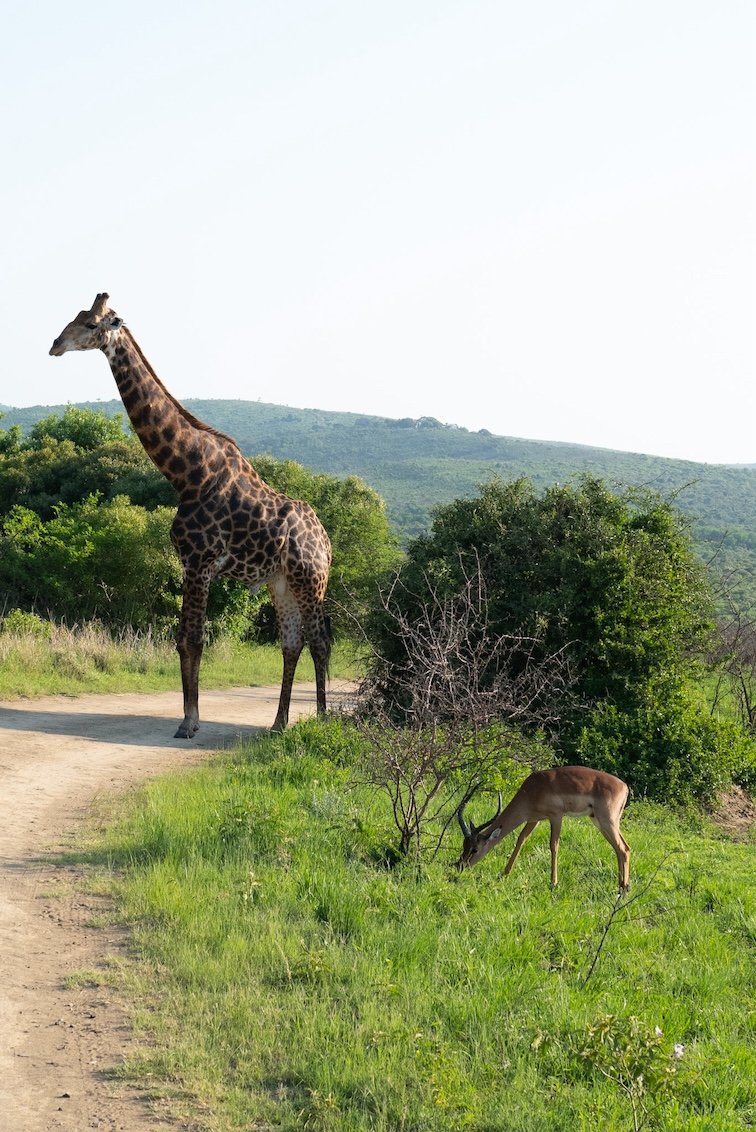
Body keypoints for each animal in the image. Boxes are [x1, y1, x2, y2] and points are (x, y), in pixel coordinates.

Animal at [48, 292, 328, 738]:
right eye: (74, 317)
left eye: (92, 324)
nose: (55, 344)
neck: (186, 473)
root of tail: (327, 541)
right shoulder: (187, 562)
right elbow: (182, 639)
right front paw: (188, 717)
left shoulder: (200, 561)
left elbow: (194, 639)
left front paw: (189, 722)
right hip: (280, 584)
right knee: (292, 643)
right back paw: (278, 723)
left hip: (310, 580)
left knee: (320, 641)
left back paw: (320, 718)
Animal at [457, 769, 629, 892]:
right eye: (464, 846)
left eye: (475, 849)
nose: (460, 865)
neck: (533, 789)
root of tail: (625, 787)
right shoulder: (534, 819)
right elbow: (520, 839)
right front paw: (505, 873)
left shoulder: (556, 816)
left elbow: (554, 846)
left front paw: (553, 883)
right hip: (602, 822)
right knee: (620, 848)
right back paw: (621, 885)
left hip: (607, 821)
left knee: (624, 849)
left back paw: (624, 889)